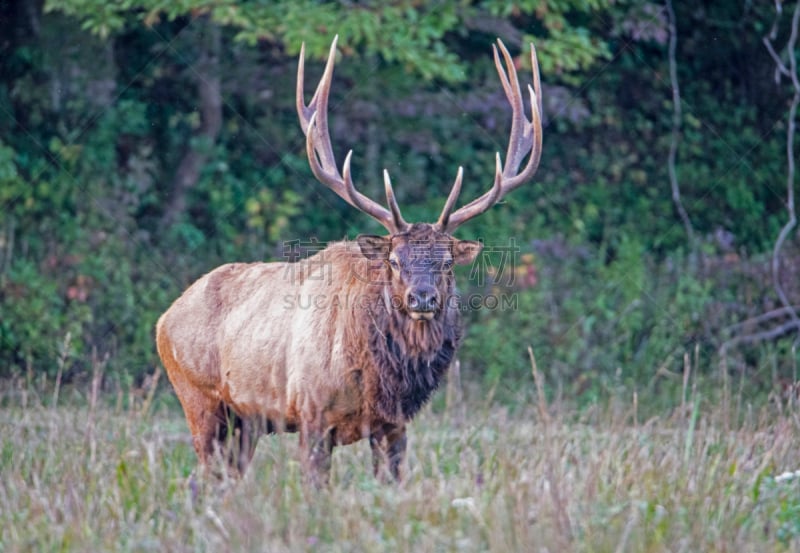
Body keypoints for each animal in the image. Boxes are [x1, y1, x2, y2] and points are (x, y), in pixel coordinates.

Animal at [156, 35, 544, 484]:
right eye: (394, 261)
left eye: (447, 262)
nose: (422, 298)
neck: (378, 380)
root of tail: (164, 318)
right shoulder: (310, 413)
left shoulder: (394, 426)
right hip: (199, 400)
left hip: (244, 422)